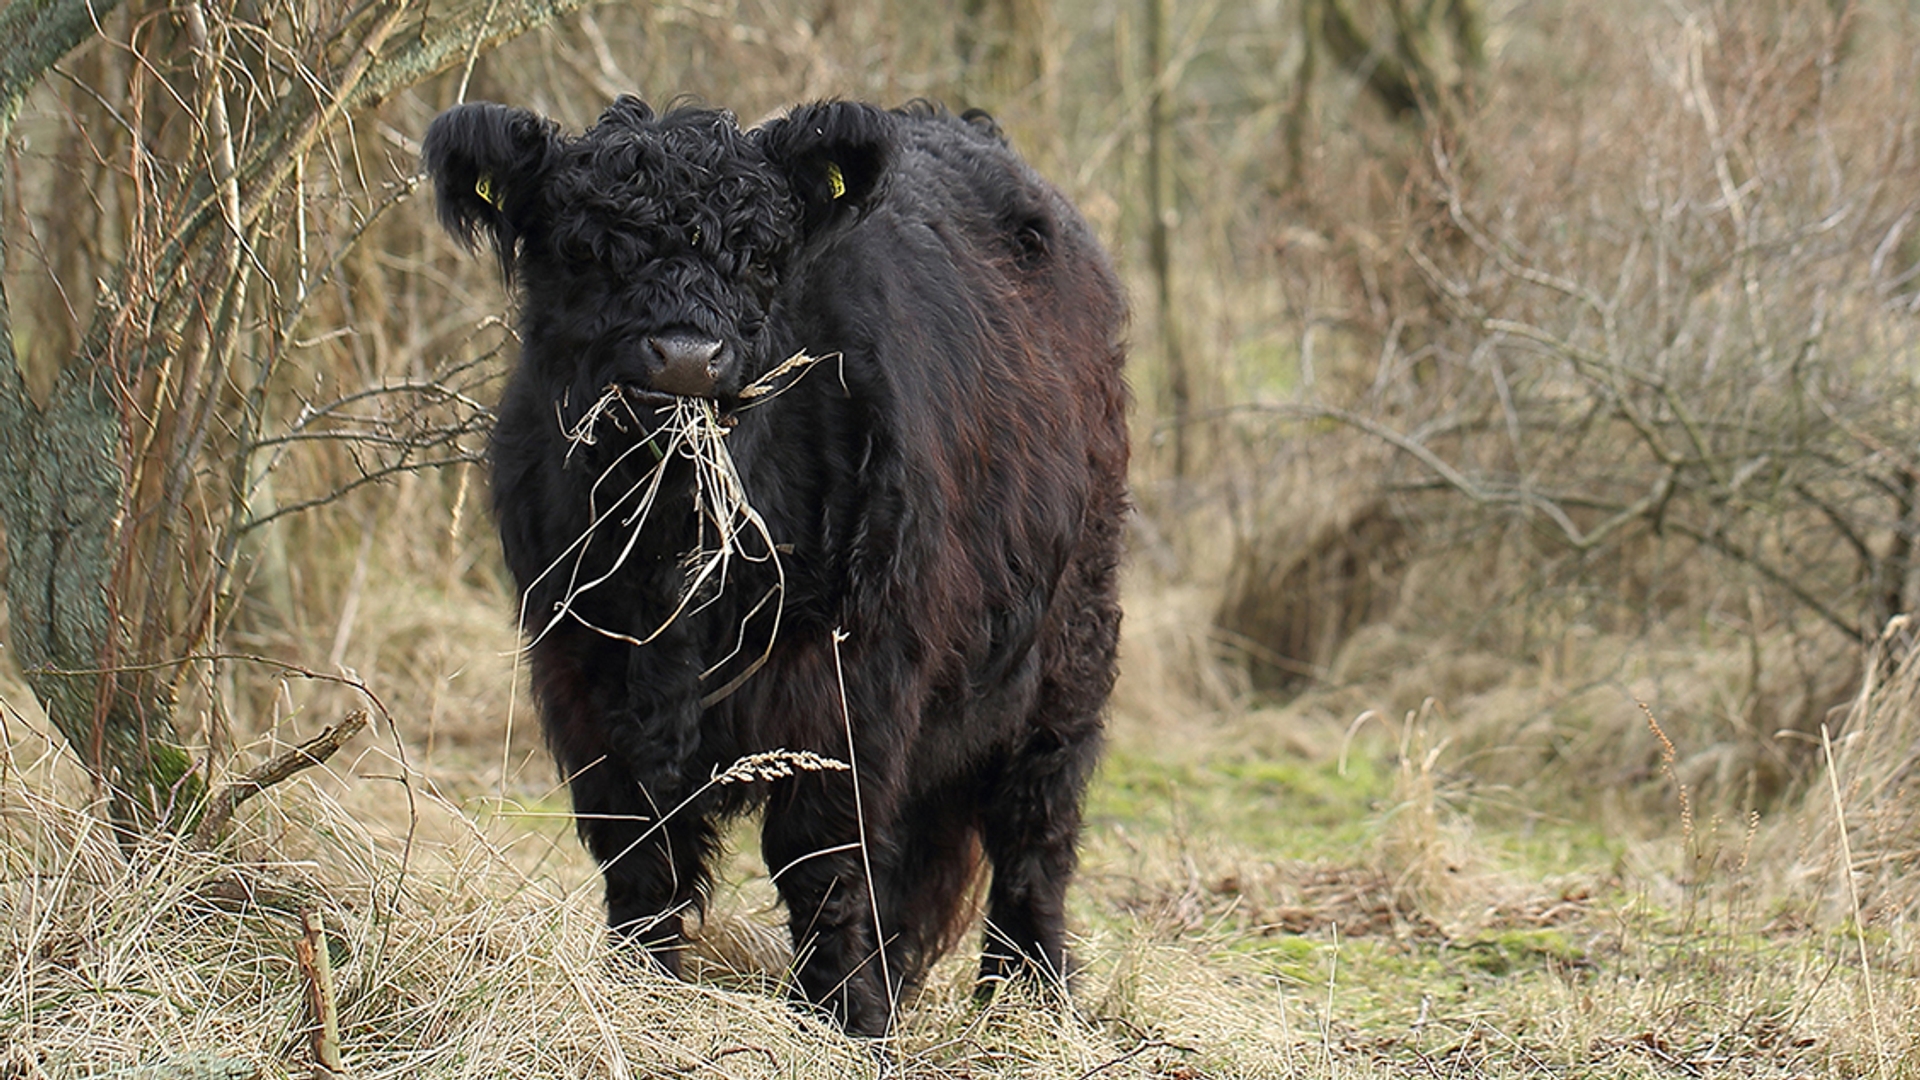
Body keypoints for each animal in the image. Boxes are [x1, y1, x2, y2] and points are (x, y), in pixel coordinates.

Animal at [424, 100, 1121, 1037]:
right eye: (583, 251)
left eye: (757, 256)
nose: (686, 356)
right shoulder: (583, 674)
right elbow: (639, 853)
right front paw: (640, 991)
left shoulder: (846, 680)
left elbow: (821, 854)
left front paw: (843, 1015)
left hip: (1071, 640)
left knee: (1034, 822)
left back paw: (1027, 996)